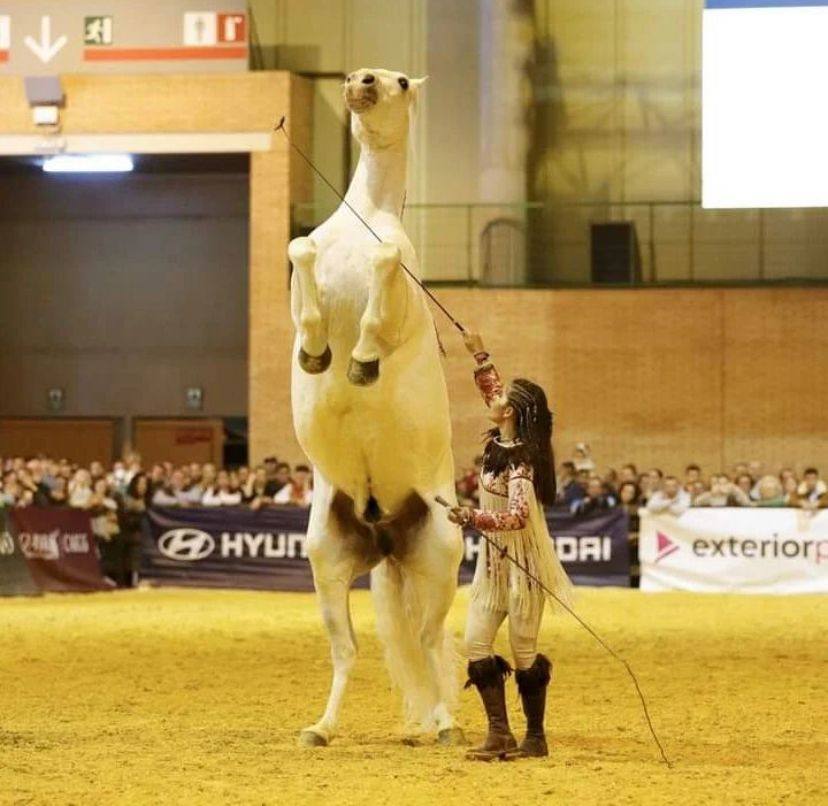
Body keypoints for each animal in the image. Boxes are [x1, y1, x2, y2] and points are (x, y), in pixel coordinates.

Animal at [288, 66, 462, 748]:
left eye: (398, 82)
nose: (359, 82)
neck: (364, 221)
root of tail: (384, 528)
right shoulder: (299, 282)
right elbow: (299, 250)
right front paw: (316, 354)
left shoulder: (396, 298)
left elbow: (378, 299)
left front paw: (360, 362)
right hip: (327, 564)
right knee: (348, 653)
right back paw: (320, 728)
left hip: (440, 560)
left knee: (431, 642)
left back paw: (444, 726)